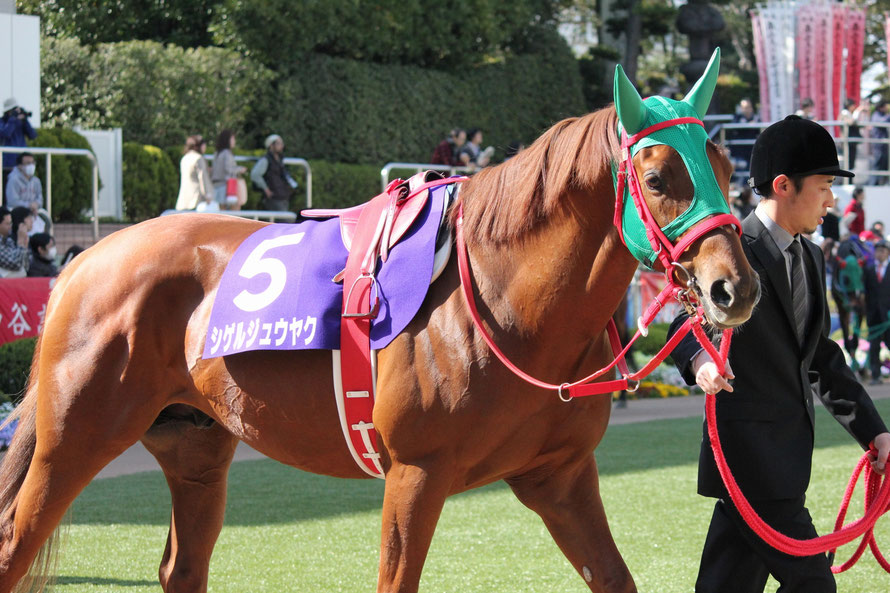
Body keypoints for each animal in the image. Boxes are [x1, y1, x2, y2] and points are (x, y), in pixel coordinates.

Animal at [1, 68, 756, 588]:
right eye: (658, 178)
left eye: (724, 168)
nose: (737, 287)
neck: (504, 305)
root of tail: (86, 258)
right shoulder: (415, 475)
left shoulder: (559, 476)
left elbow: (614, 576)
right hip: (74, 439)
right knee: (14, 547)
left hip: (195, 447)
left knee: (181, 568)